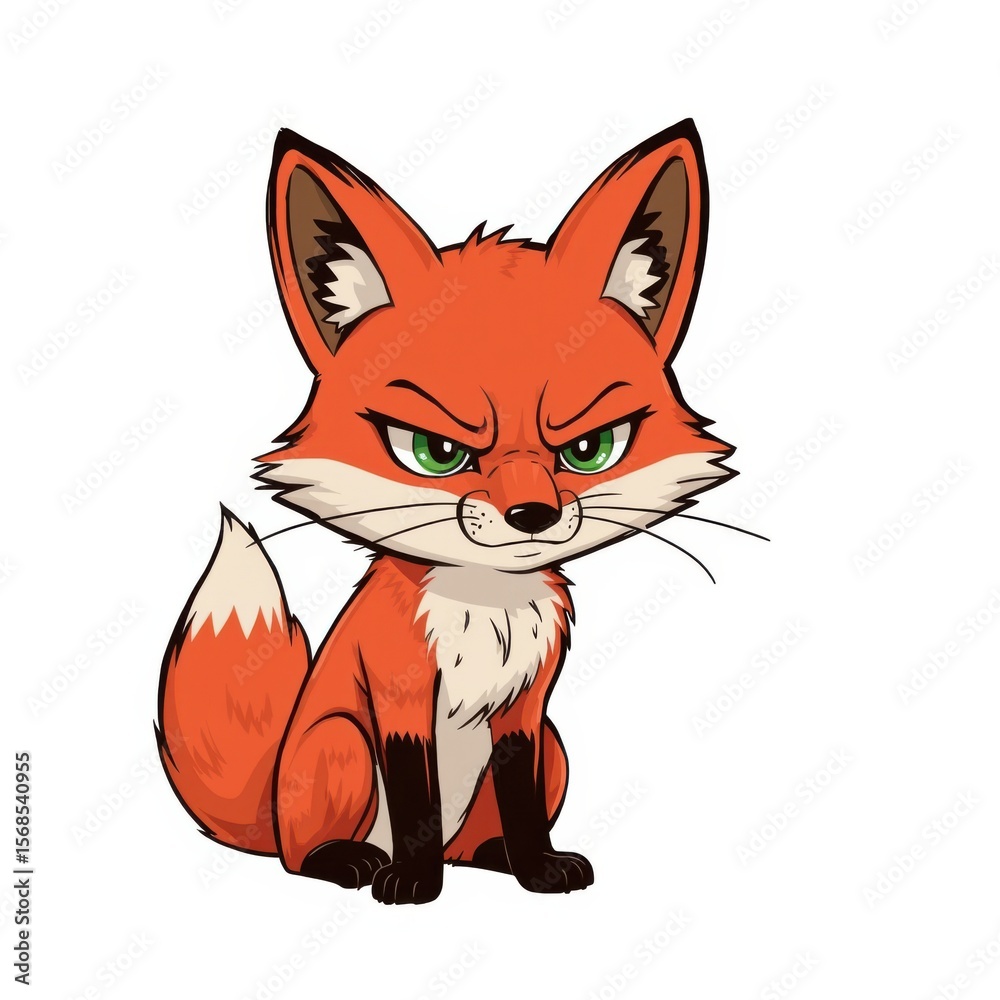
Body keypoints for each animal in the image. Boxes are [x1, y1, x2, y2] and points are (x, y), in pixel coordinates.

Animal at [156, 119, 736, 904]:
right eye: (436, 452)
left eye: (589, 449)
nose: (533, 515)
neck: (486, 609)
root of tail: (270, 806)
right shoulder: (399, 700)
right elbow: (415, 800)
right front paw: (411, 883)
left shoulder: (526, 711)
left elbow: (521, 804)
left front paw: (536, 869)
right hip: (339, 742)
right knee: (300, 858)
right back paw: (352, 862)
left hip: (557, 749)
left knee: (470, 842)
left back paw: (490, 857)